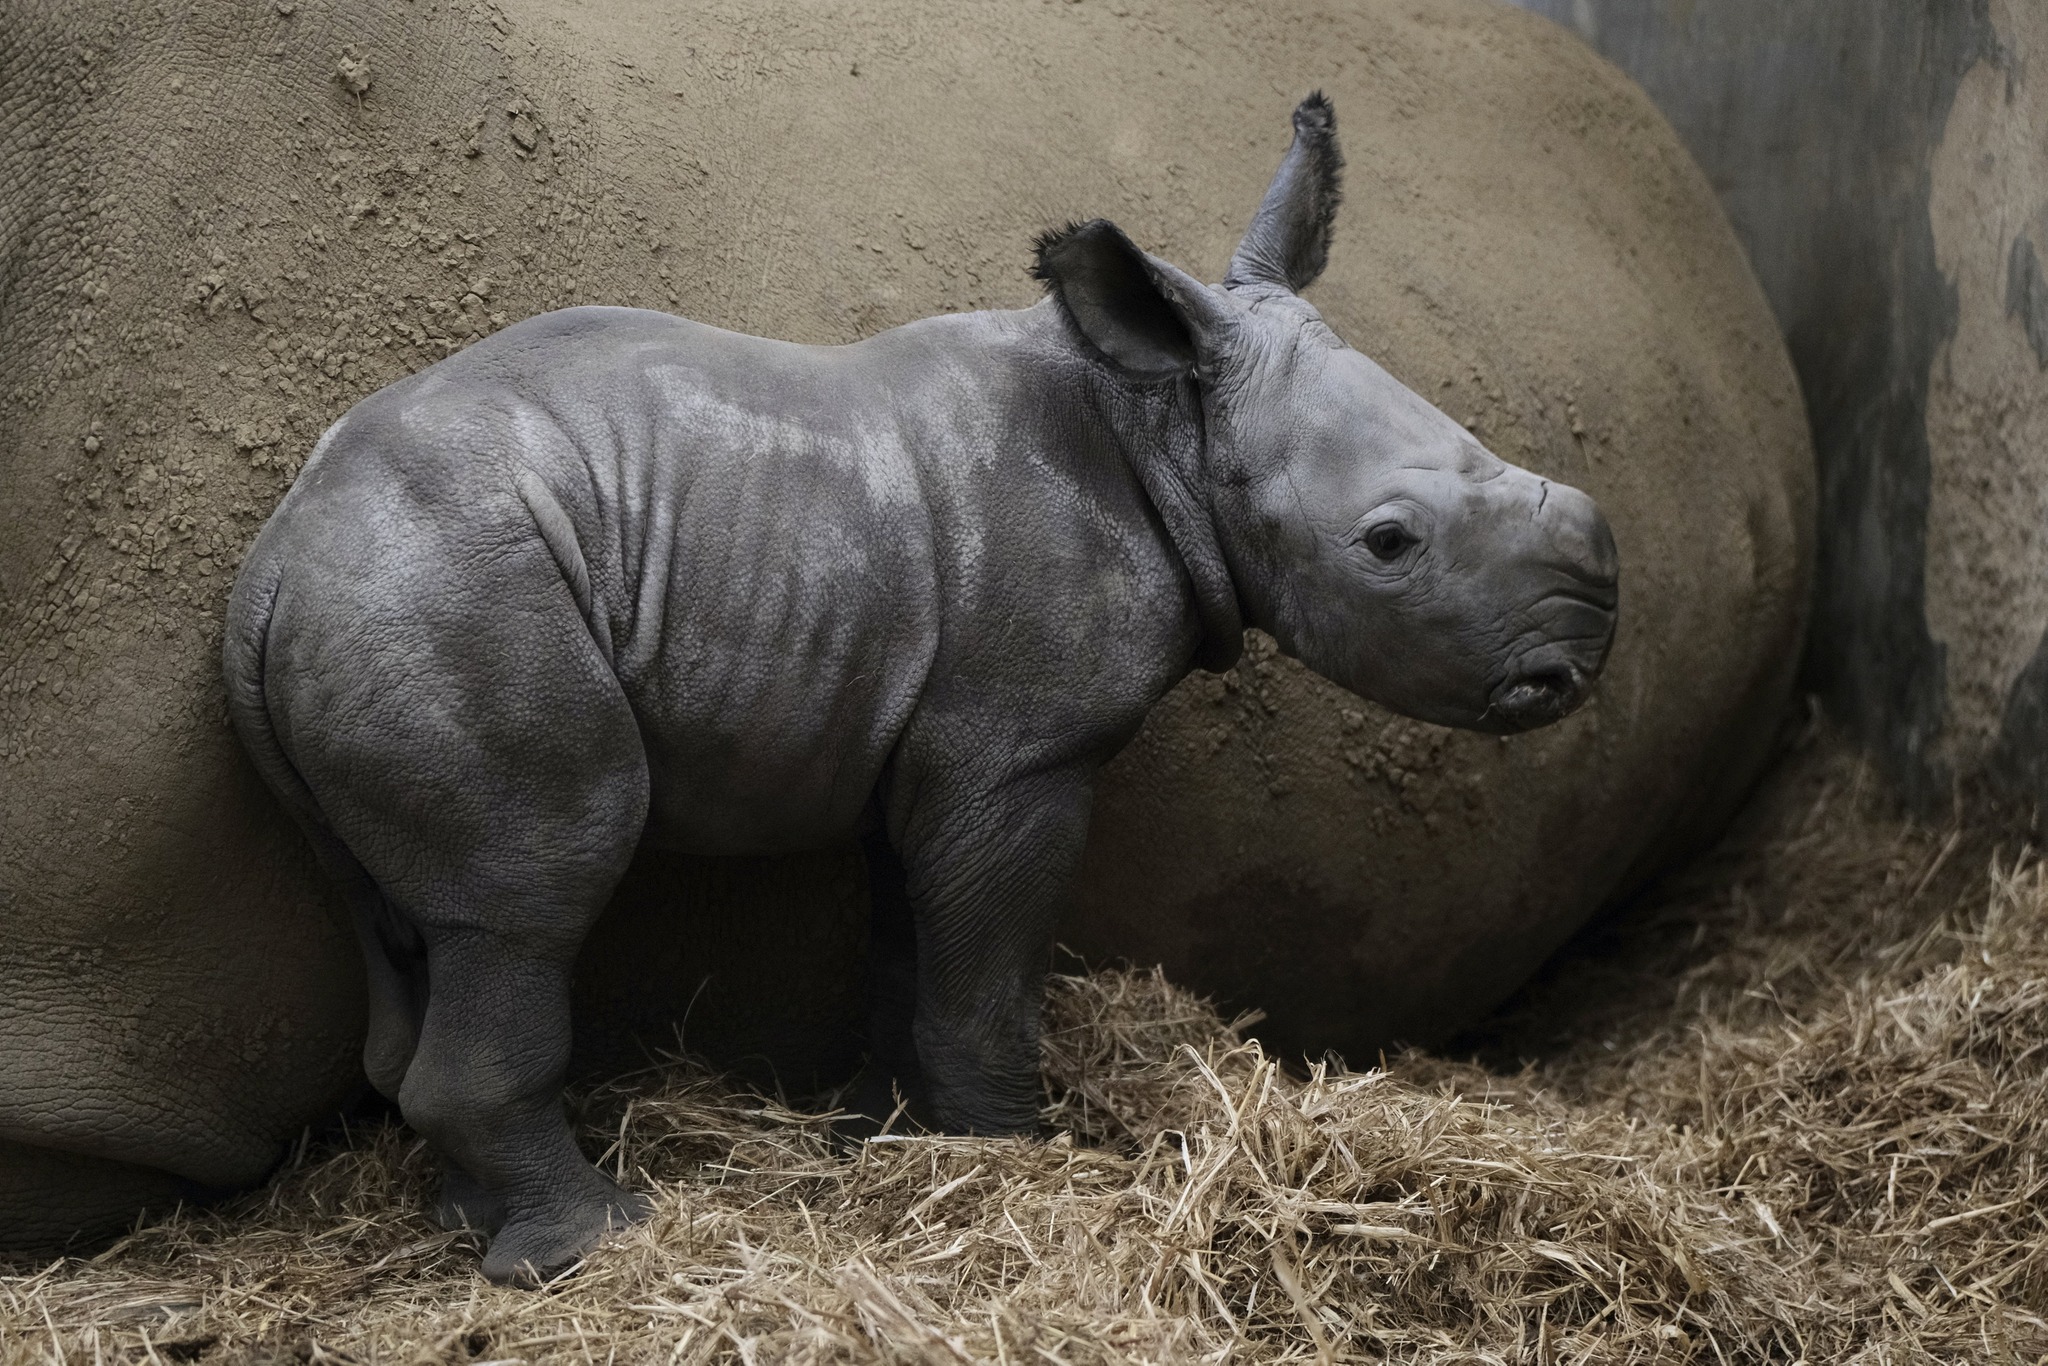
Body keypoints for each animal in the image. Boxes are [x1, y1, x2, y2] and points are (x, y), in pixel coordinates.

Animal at [221, 96, 1618, 1284]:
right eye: (1388, 543)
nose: (1588, 641)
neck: (1164, 418)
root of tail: (269, 569)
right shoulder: (1017, 749)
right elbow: (985, 969)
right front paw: (1018, 1161)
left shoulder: (928, 737)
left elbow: (913, 943)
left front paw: (890, 1137)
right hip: (451, 592)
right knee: (528, 894)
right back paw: (596, 1243)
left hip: (387, 603)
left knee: (416, 924)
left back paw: (474, 1225)